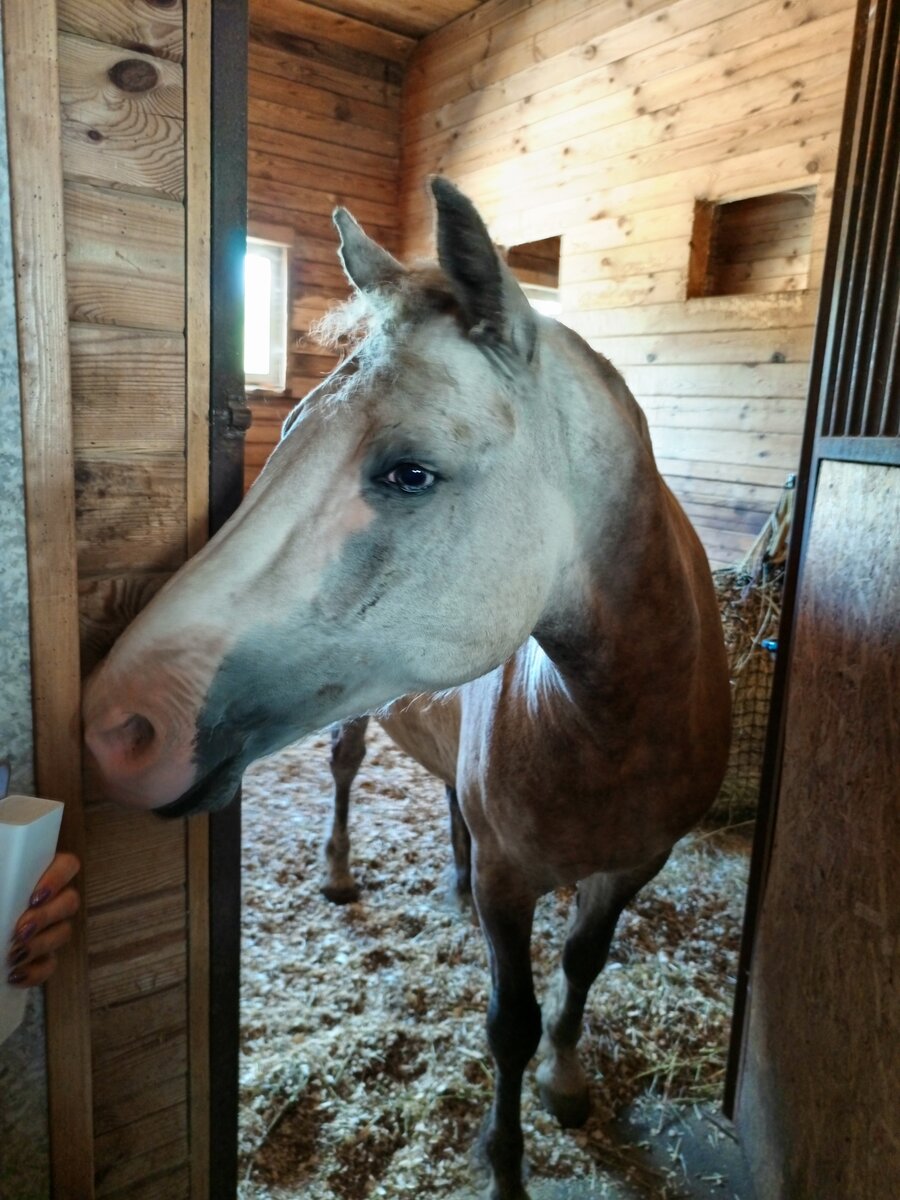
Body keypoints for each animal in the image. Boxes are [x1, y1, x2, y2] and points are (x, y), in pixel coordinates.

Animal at [82, 177, 734, 1200]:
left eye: (410, 472)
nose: (120, 729)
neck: (614, 723)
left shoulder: (637, 863)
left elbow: (583, 966)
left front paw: (566, 1083)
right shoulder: (515, 883)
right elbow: (509, 1021)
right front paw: (505, 1164)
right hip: (354, 731)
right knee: (348, 771)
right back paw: (341, 871)